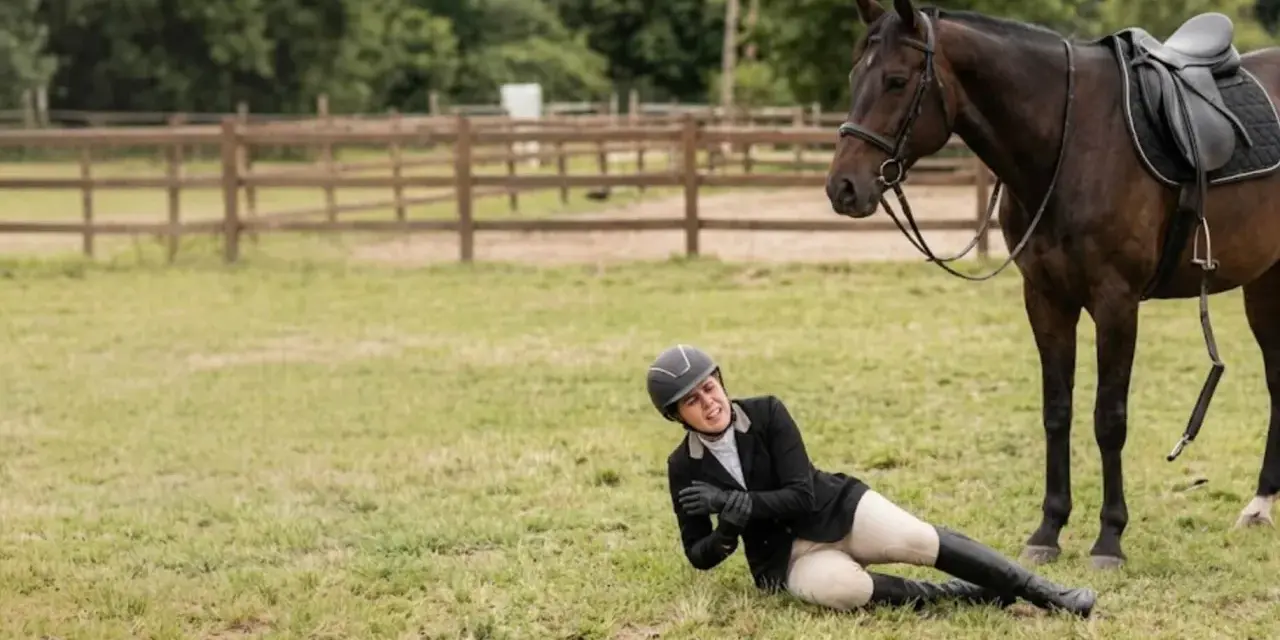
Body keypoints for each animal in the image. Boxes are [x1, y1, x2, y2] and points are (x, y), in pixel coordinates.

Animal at [824, 0, 1280, 570]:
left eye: (896, 80)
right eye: (853, 76)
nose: (843, 188)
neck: (1072, 143)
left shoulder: (1115, 302)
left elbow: (1109, 418)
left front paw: (1109, 538)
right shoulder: (1046, 298)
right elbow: (1056, 412)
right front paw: (1048, 530)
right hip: (1264, 285)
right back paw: (1260, 507)